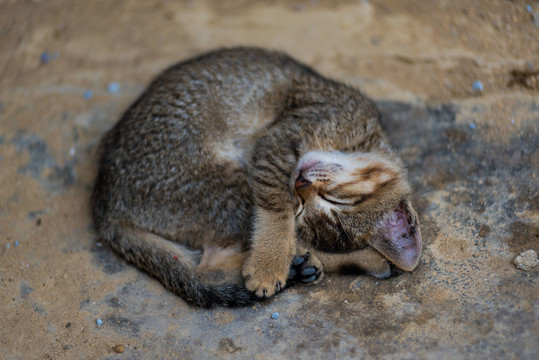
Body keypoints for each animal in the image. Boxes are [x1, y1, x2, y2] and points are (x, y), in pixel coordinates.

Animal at [90, 47, 424, 306]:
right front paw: (268, 266)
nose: (301, 182)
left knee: (211, 261)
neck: (358, 138)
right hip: (225, 184)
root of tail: (105, 205)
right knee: (209, 263)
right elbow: (276, 211)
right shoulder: (278, 143)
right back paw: (351, 261)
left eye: (334, 200)